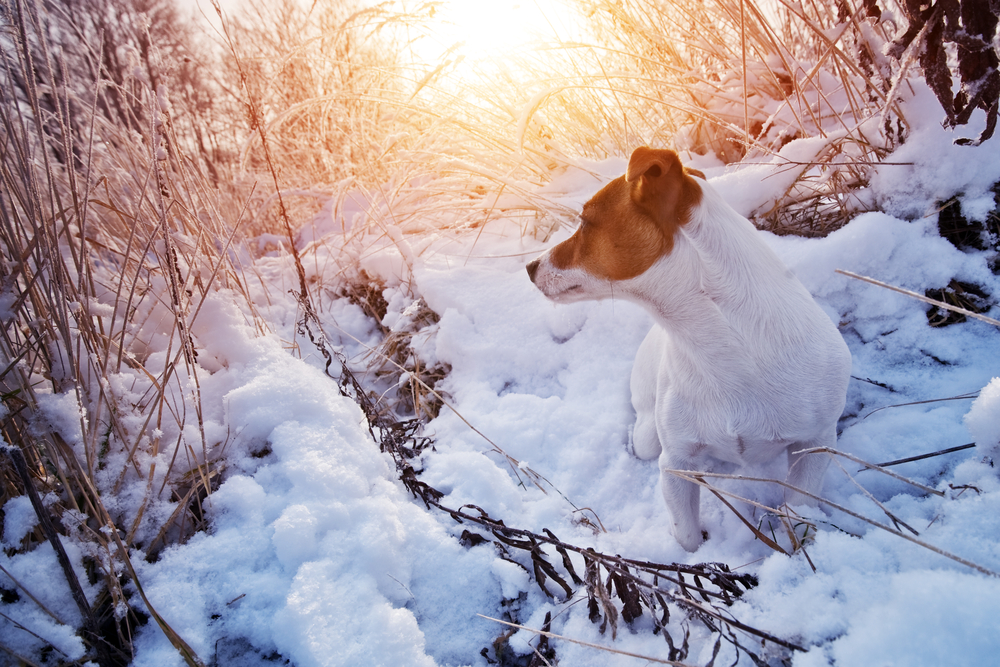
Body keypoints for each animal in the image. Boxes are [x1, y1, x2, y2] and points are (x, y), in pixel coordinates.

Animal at [528, 147, 848, 552]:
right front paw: (695, 558)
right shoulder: (675, 464)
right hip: (651, 435)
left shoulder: (816, 447)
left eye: (585, 222)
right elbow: (686, 534)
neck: (719, 343)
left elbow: (799, 515)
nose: (529, 266)